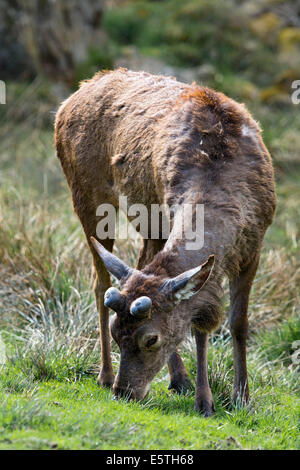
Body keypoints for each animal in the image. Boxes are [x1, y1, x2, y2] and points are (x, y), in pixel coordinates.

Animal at [55, 68, 276, 416]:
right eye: (117, 334)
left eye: (151, 339)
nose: (124, 392)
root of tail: (73, 95)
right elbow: (200, 324)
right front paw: (205, 400)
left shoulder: (254, 246)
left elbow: (237, 323)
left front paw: (242, 397)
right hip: (86, 193)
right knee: (100, 281)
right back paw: (107, 373)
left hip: (150, 227)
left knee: (140, 268)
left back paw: (178, 378)